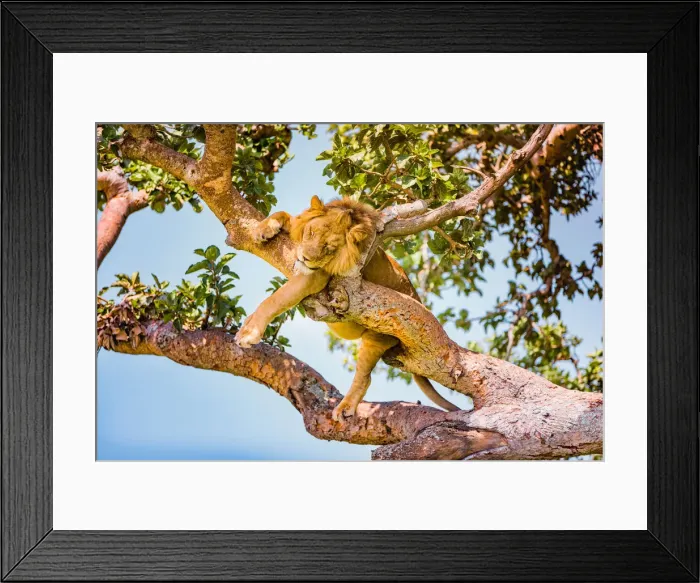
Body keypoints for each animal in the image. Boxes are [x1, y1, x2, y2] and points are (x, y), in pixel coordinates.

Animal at [235, 195, 459, 420]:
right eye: (311, 232)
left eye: (329, 248)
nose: (305, 258)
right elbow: (285, 214)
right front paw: (262, 229)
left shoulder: (316, 276)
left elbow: (275, 300)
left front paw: (249, 334)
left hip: (376, 338)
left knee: (364, 377)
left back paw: (345, 408)